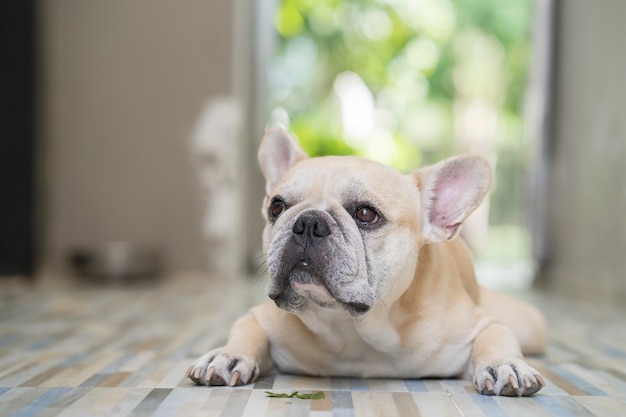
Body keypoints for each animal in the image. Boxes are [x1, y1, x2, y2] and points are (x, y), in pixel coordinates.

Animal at [186, 127, 544, 396]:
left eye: (366, 214)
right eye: (276, 207)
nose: (309, 222)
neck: (353, 328)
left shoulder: (481, 324)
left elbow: (496, 336)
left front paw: (504, 364)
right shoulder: (260, 318)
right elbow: (246, 330)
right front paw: (229, 355)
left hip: (530, 325)